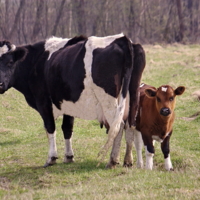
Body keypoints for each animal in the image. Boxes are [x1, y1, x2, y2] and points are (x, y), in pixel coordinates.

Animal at [0, 34, 145, 167]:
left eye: (10, 62)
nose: (0, 84)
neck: (37, 61)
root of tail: (121, 39)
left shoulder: (43, 102)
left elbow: (50, 128)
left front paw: (51, 158)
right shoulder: (68, 104)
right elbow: (67, 128)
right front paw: (69, 156)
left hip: (109, 101)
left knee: (118, 126)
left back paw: (113, 160)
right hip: (132, 96)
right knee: (130, 125)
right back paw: (127, 160)